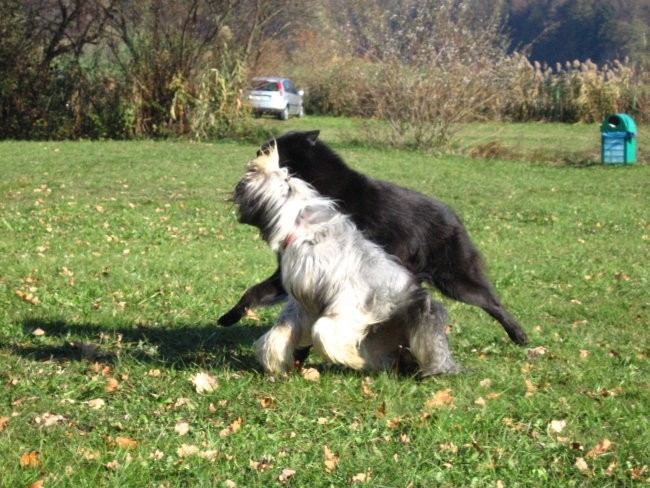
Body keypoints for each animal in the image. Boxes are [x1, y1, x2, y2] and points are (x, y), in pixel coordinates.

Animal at [218, 127, 528, 346]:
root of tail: (455, 218)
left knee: (493, 303)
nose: (251, 162)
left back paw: (519, 336)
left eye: (268, 150)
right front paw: (229, 317)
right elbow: (255, 292)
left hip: (456, 281)